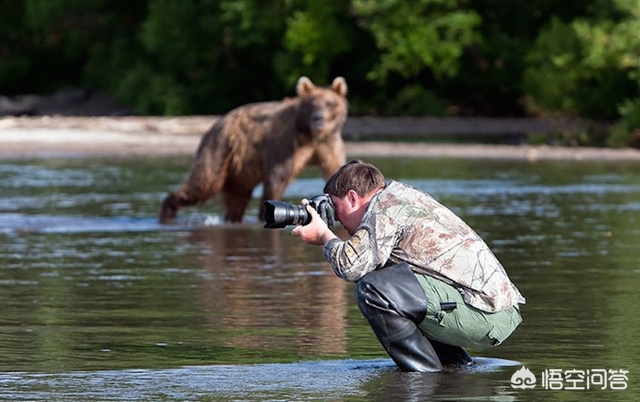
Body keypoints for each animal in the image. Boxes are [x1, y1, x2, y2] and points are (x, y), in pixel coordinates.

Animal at [160, 77, 350, 225]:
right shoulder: (286, 143)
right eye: (311, 104)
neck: (310, 135)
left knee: (237, 197)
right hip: (218, 149)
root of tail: (215, 124)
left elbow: (335, 169)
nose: (318, 119)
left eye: (330, 103)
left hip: (240, 167)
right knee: (203, 184)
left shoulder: (329, 144)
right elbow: (277, 177)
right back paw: (168, 212)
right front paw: (264, 213)